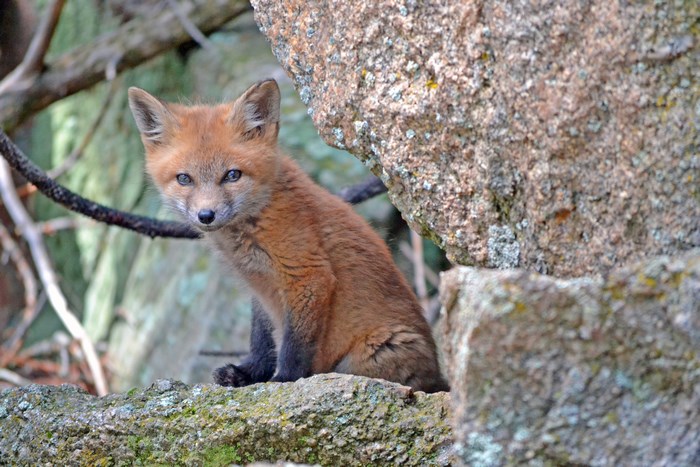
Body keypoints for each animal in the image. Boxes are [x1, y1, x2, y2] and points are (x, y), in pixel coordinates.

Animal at [128, 79, 449, 393]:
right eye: (184, 179)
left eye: (232, 175)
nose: (206, 215)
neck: (257, 220)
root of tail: (438, 375)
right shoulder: (260, 287)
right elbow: (262, 339)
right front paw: (249, 374)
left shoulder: (307, 274)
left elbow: (295, 345)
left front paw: (284, 381)